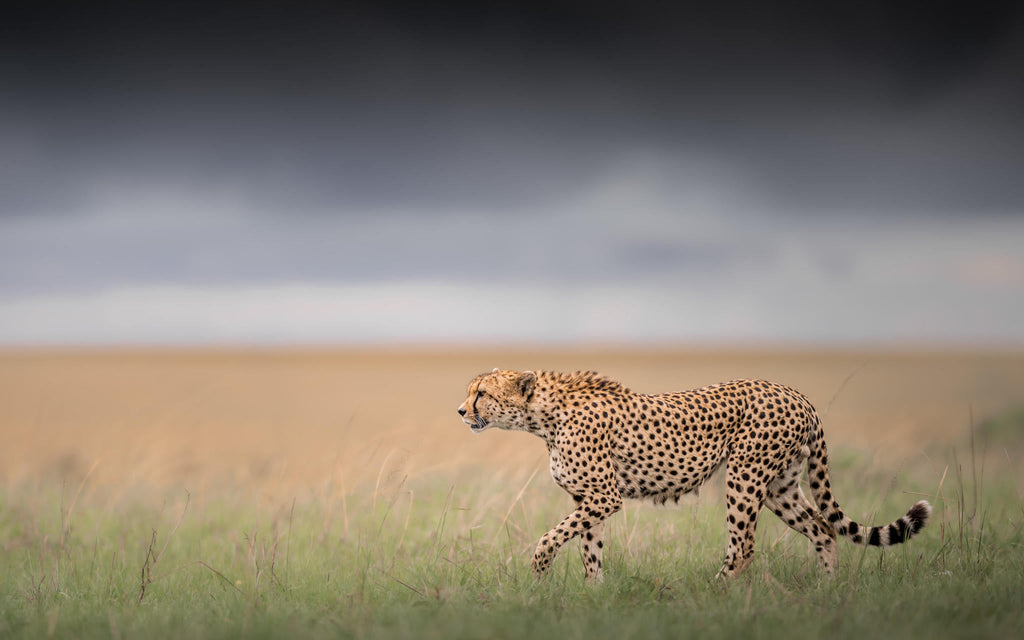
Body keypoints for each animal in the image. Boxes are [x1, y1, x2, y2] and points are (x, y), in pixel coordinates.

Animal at [457, 368, 931, 583]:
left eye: (481, 393)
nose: (460, 411)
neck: (544, 416)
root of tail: (795, 393)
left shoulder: (604, 497)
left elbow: (550, 537)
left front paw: (538, 570)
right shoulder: (587, 500)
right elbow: (589, 550)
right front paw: (593, 594)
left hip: (744, 476)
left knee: (743, 546)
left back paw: (716, 593)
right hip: (780, 487)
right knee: (822, 528)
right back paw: (826, 589)